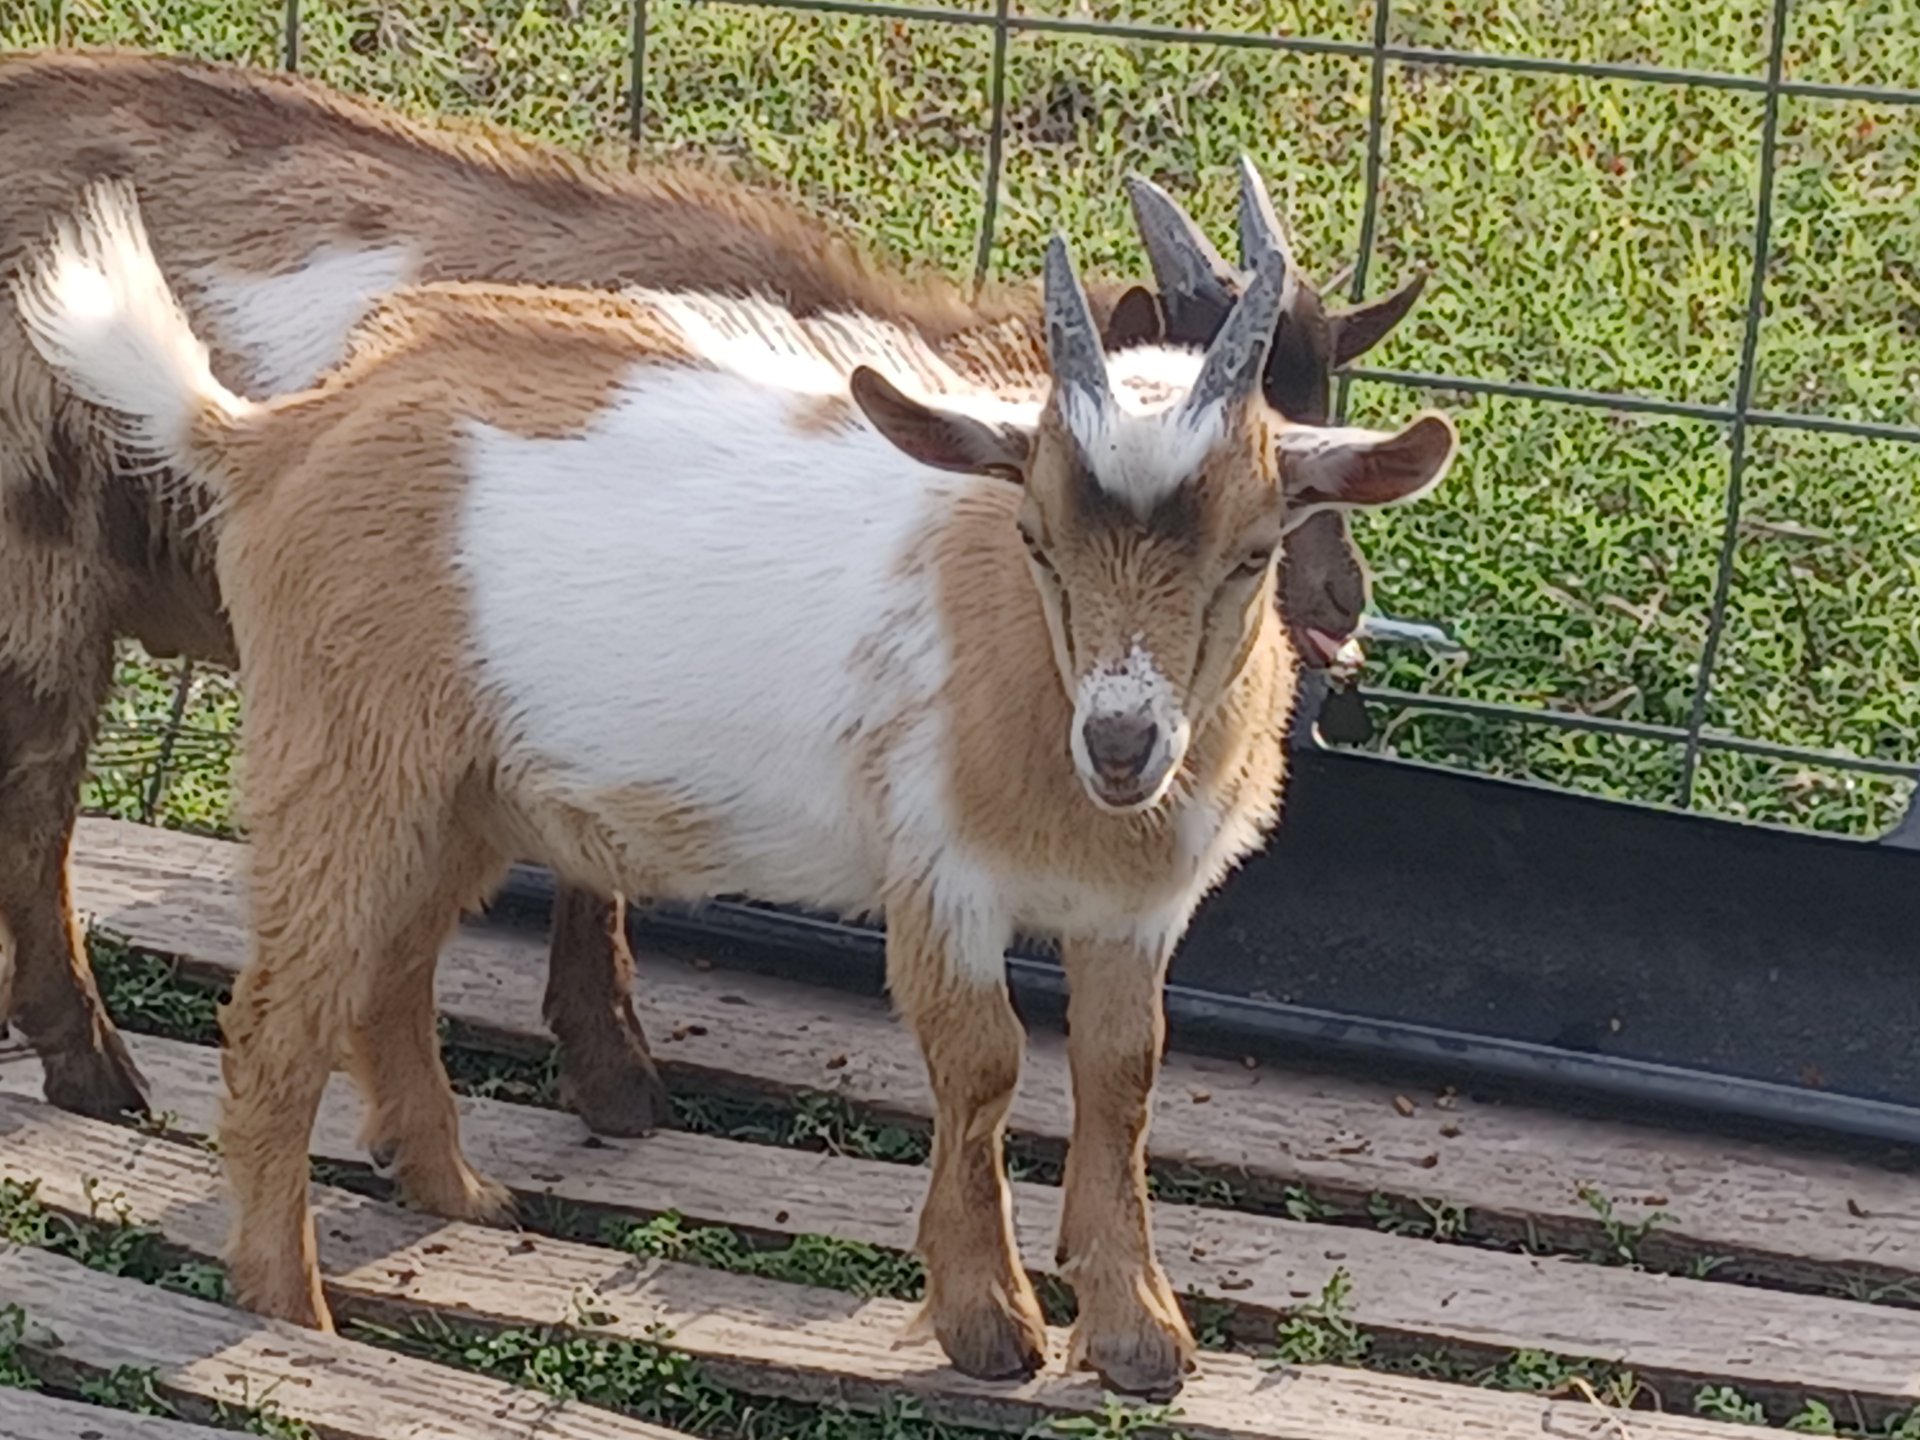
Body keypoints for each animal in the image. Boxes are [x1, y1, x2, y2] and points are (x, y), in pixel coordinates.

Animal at [0, 49, 1431, 1137]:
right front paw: (619, 1079)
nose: (1342, 607)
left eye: (1319, 414)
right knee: (39, 811)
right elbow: (594, 872)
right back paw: (93, 1068)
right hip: (40, 573)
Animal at [14, 171, 1455, 1397]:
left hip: (466, 785)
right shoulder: (941, 874)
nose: (1120, 743)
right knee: (278, 1026)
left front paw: (1144, 1341)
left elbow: (1123, 1076)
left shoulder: (1137, 913)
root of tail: (269, 430)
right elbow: (982, 1064)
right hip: (345, 754)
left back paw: (458, 1197)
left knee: (390, 977)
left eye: (1253, 548)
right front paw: (990, 1328)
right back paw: (291, 1314)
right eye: (1034, 535)